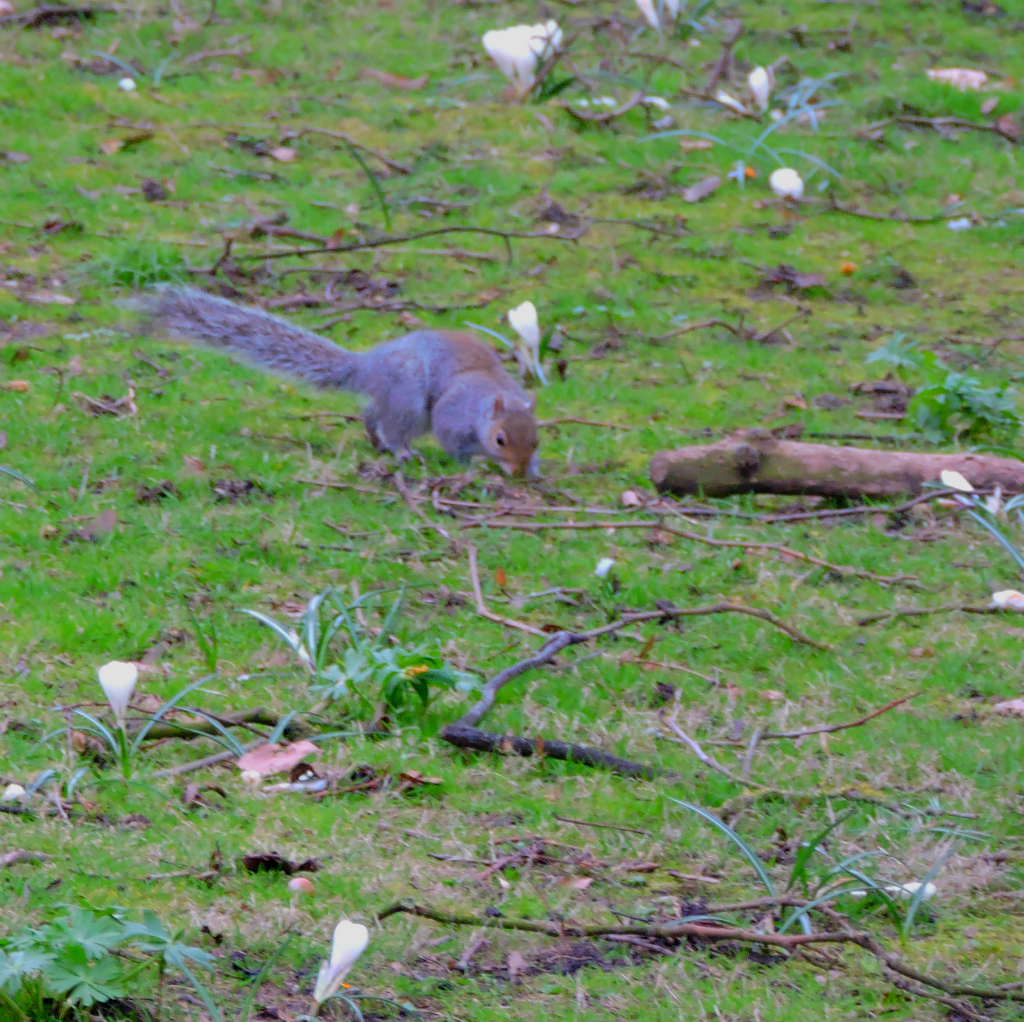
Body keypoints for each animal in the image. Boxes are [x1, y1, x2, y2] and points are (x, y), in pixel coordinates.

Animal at [144, 287, 540, 476]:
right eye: (500, 439)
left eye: (536, 440)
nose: (519, 470)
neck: (489, 400)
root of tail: (368, 366)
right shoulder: (452, 415)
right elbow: (454, 444)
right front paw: (470, 465)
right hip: (410, 400)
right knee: (394, 426)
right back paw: (401, 451)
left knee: (372, 413)